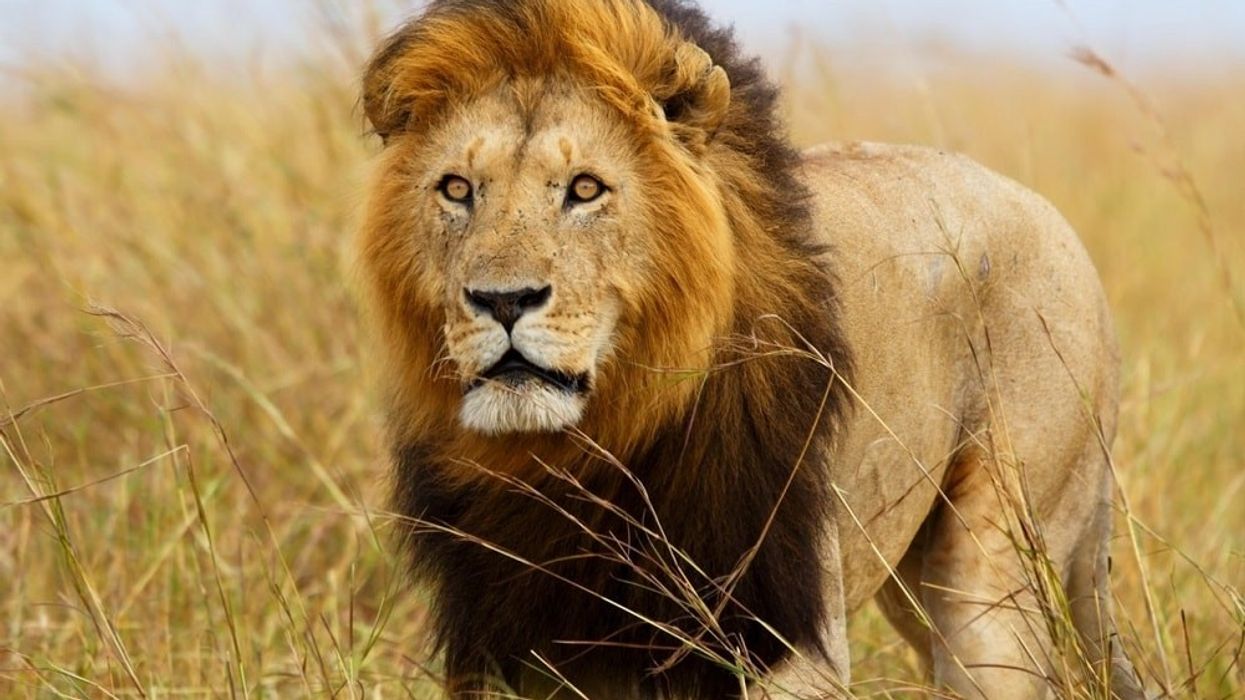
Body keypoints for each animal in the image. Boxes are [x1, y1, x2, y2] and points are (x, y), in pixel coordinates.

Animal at [357, 1, 1147, 698]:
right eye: (456, 189)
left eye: (584, 189)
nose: (502, 300)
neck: (587, 451)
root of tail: (1054, 219)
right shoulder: (517, 649)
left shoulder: (783, 633)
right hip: (914, 581)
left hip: (994, 567)